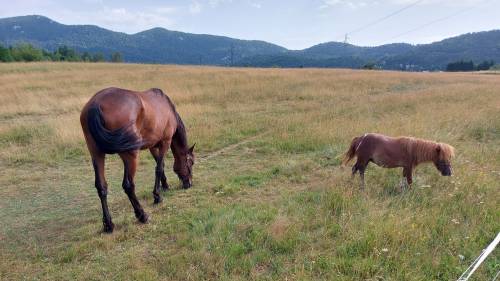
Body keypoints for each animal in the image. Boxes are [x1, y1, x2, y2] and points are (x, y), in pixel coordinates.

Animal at [79, 87, 193, 232]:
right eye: (191, 163)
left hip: (96, 154)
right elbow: (159, 168)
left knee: (101, 187)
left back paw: (108, 224)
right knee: (128, 185)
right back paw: (142, 215)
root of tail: (96, 104)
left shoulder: (153, 145)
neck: (167, 107)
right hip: (130, 155)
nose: (189, 184)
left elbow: (159, 165)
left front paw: (165, 186)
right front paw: (157, 196)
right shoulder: (165, 142)